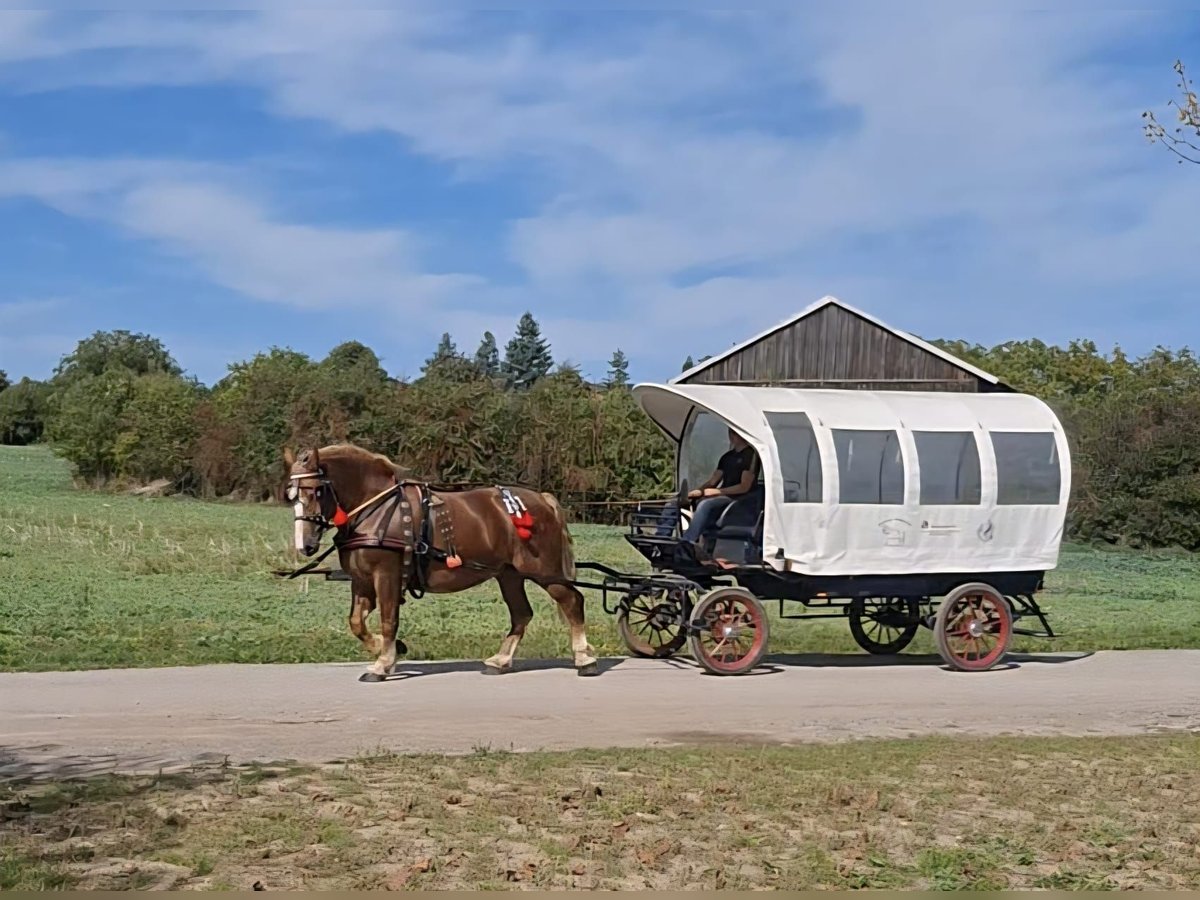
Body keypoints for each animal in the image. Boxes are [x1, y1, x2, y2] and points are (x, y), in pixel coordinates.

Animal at [282, 443, 599, 682]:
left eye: (315, 491)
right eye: (292, 496)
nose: (305, 545)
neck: (376, 507)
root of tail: (542, 500)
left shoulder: (387, 574)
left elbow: (388, 619)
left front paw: (383, 663)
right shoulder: (361, 580)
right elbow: (356, 622)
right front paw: (389, 649)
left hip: (544, 571)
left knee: (572, 601)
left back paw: (584, 659)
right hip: (509, 574)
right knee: (522, 614)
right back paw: (500, 660)